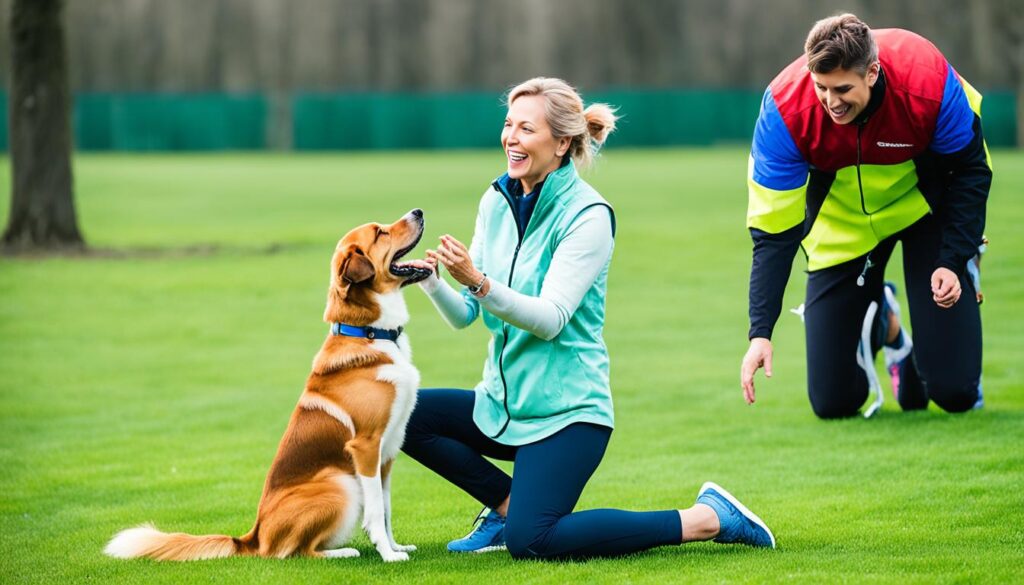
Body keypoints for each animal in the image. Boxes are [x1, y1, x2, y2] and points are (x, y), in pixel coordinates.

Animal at [105, 209, 434, 561]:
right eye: (380, 233)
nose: (418, 212)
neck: (370, 333)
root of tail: (251, 537)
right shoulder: (366, 447)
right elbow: (375, 512)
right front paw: (389, 555)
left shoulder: (387, 452)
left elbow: (386, 509)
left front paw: (395, 546)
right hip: (340, 482)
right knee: (295, 552)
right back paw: (341, 553)